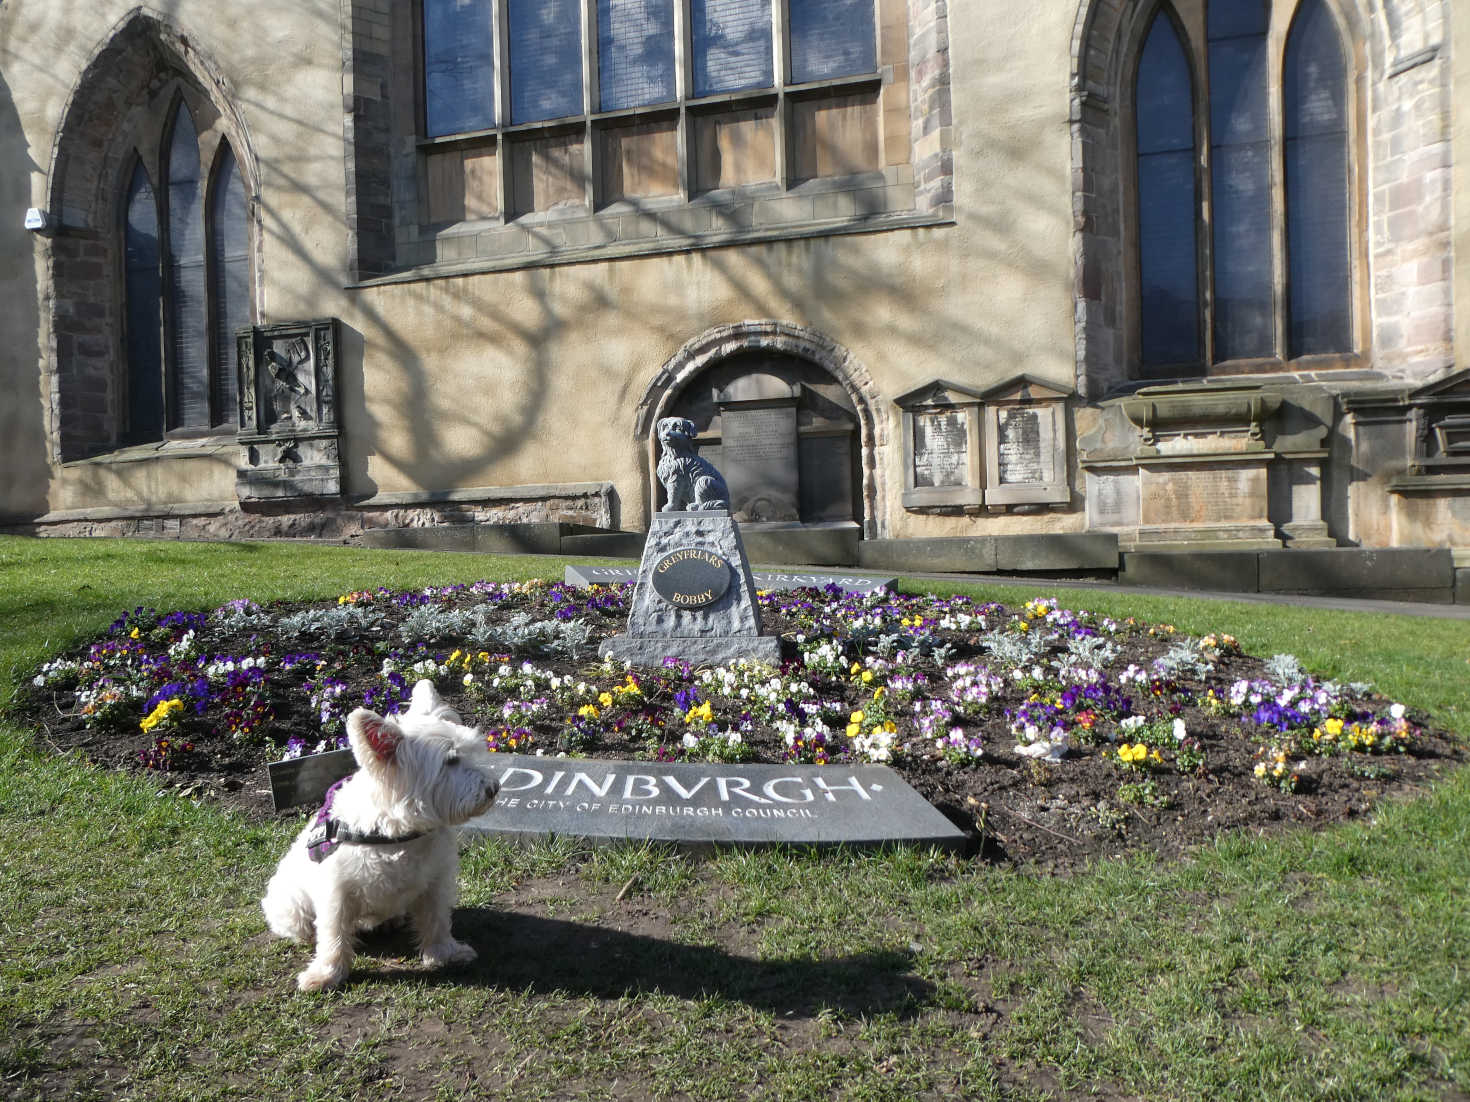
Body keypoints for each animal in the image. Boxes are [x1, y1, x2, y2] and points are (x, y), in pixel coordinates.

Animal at [260, 681, 499, 993]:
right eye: (451, 760)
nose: (494, 788)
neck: (400, 833)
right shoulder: (336, 891)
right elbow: (333, 935)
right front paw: (326, 975)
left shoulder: (436, 879)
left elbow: (436, 919)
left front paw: (446, 953)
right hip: (292, 904)